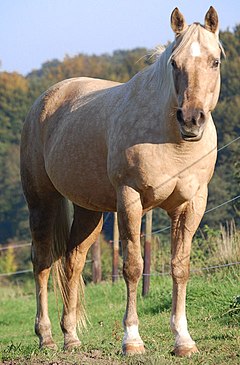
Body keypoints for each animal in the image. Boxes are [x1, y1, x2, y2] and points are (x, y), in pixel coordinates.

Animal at [20, 7, 223, 356]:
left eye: (215, 61)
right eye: (174, 62)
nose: (191, 119)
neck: (171, 140)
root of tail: (44, 101)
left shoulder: (192, 203)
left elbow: (179, 267)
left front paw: (183, 340)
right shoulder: (131, 199)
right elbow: (133, 267)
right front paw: (132, 340)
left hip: (89, 212)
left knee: (73, 263)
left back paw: (70, 337)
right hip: (41, 203)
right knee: (43, 262)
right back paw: (46, 336)